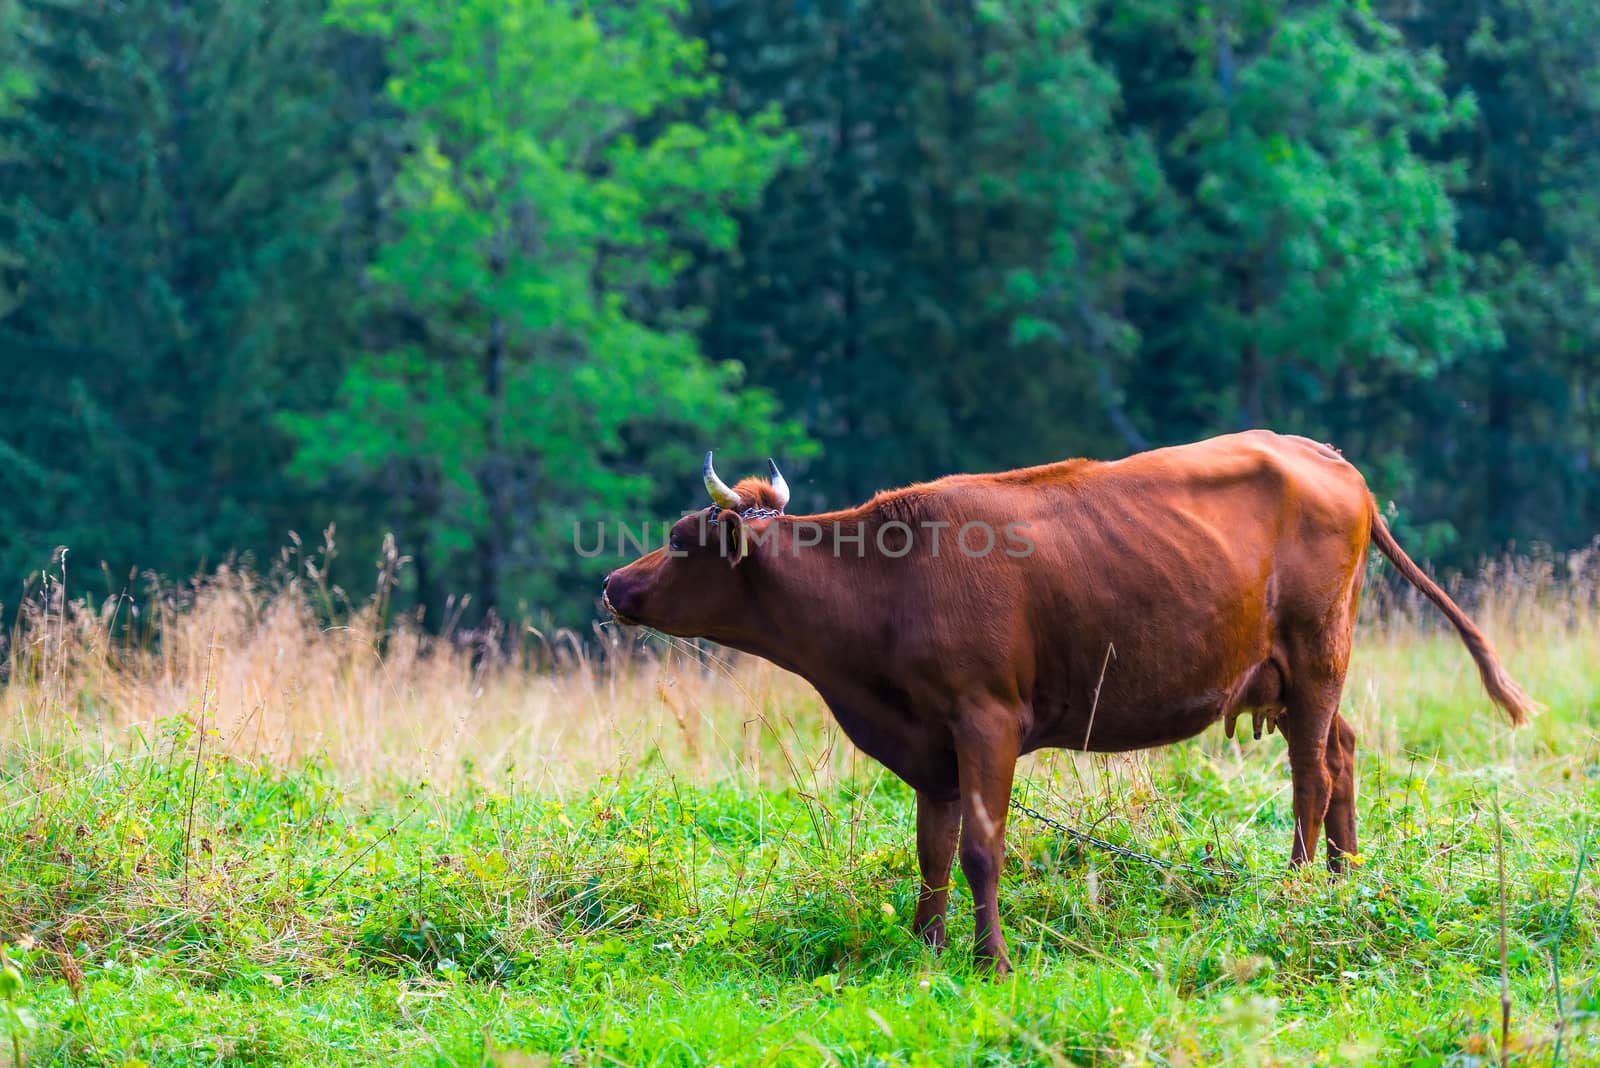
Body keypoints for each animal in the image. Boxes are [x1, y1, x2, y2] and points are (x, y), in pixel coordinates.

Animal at [601, 428, 1536, 972]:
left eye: (680, 540)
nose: (612, 584)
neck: (889, 584)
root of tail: (1329, 458)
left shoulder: (985, 718)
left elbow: (983, 851)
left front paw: (992, 963)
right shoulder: (929, 745)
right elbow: (932, 852)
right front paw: (924, 951)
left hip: (1316, 653)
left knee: (1312, 775)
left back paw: (1300, 890)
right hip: (1302, 669)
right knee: (1343, 752)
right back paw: (1346, 885)